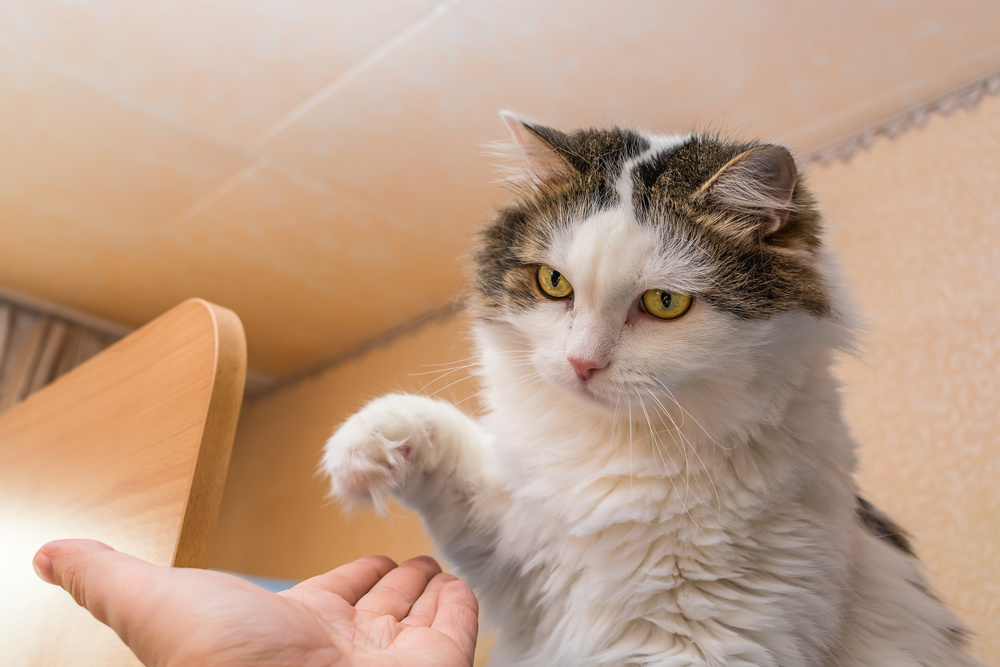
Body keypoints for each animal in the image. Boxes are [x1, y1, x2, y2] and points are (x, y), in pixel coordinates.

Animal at [322, 112, 984, 664]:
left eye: (665, 303)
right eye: (553, 283)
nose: (581, 363)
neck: (616, 447)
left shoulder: (706, 638)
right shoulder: (522, 569)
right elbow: (455, 453)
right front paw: (367, 447)